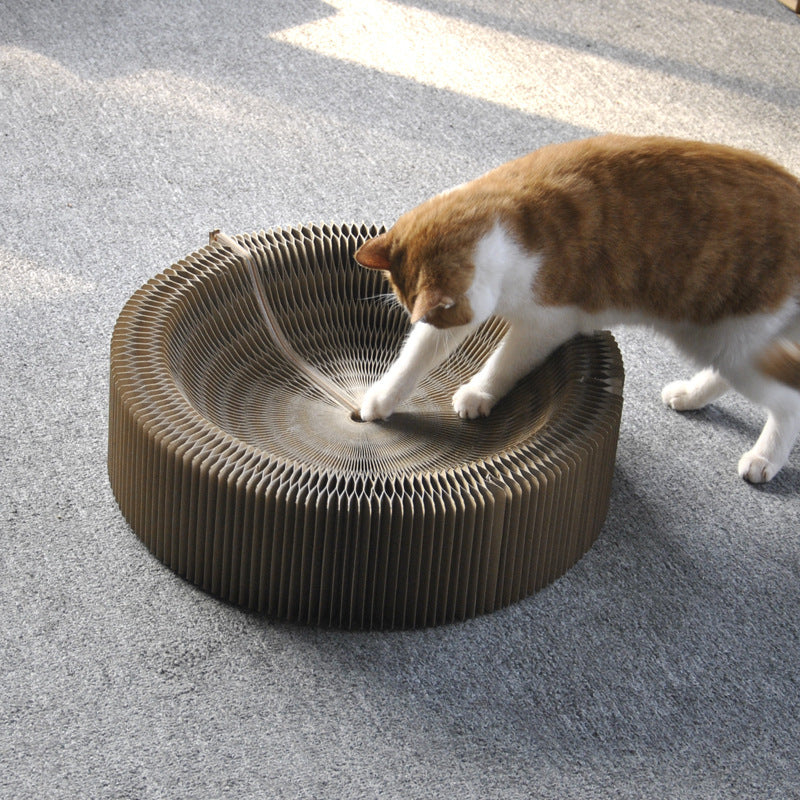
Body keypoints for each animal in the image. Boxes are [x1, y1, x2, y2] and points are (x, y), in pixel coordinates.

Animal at [354, 133, 800, 482]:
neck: (506, 219)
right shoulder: (463, 313)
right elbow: (415, 358)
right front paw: (380, 400)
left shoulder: (548, 322)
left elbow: (506, 361)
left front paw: (479, 392)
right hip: (721, 341)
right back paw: (690, 394)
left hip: (728, 337)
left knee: (788, 401)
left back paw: (764, 458)